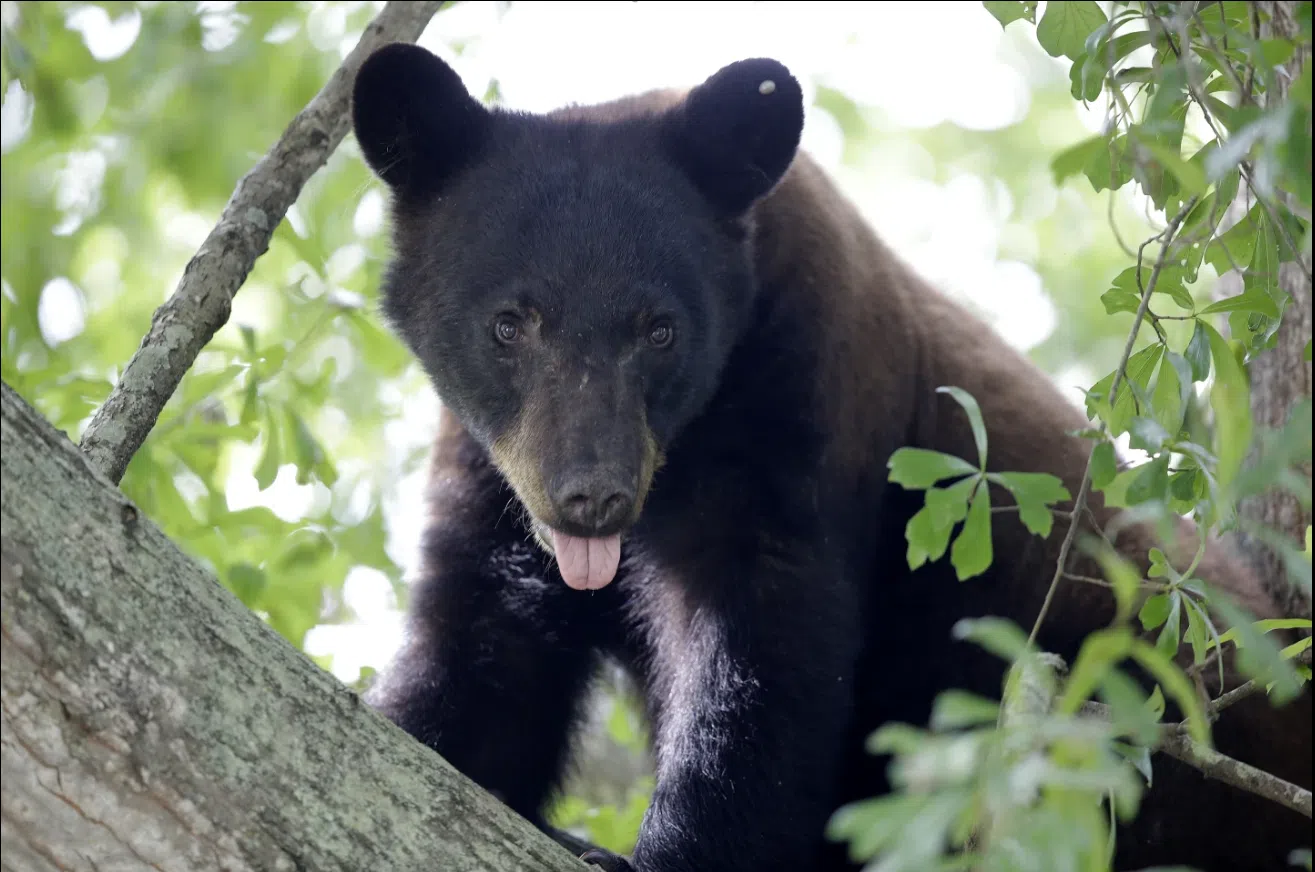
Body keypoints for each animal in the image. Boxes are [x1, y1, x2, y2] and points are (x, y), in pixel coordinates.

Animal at [352, 44, 1315, 872]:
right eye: (508, 324)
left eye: (660, 330)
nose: (592, 495)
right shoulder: (492, 476)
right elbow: (483, 652)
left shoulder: (800, 402)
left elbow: (761, 655)